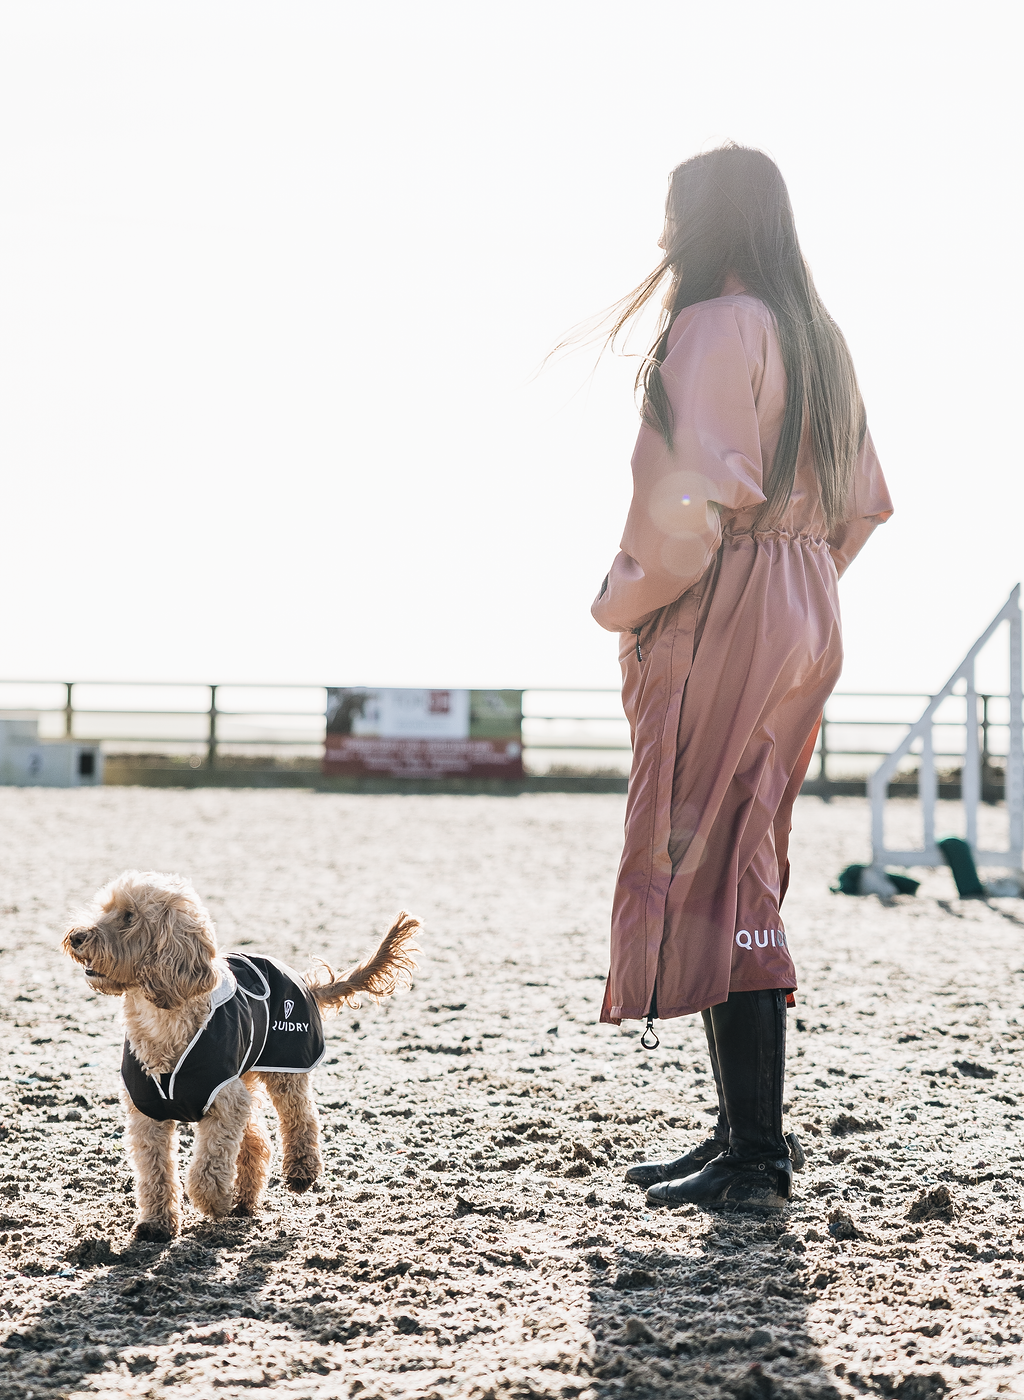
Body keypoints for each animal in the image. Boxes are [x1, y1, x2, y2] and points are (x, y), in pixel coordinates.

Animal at [61, 868, 420, 1243]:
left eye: (129, 916)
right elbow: (155, 1173)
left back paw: (300, 1172)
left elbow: (208, 1165)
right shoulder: (149, 1114)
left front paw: (213, 1202)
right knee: (258, 1141)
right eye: (104, 909)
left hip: (286, 1067)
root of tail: (302, 980)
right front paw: (157, 1224)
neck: (162, 1020)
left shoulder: (224, 1103)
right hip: (244, 1081)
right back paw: (244, 1202)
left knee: (301, 1116)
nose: (77, 937)